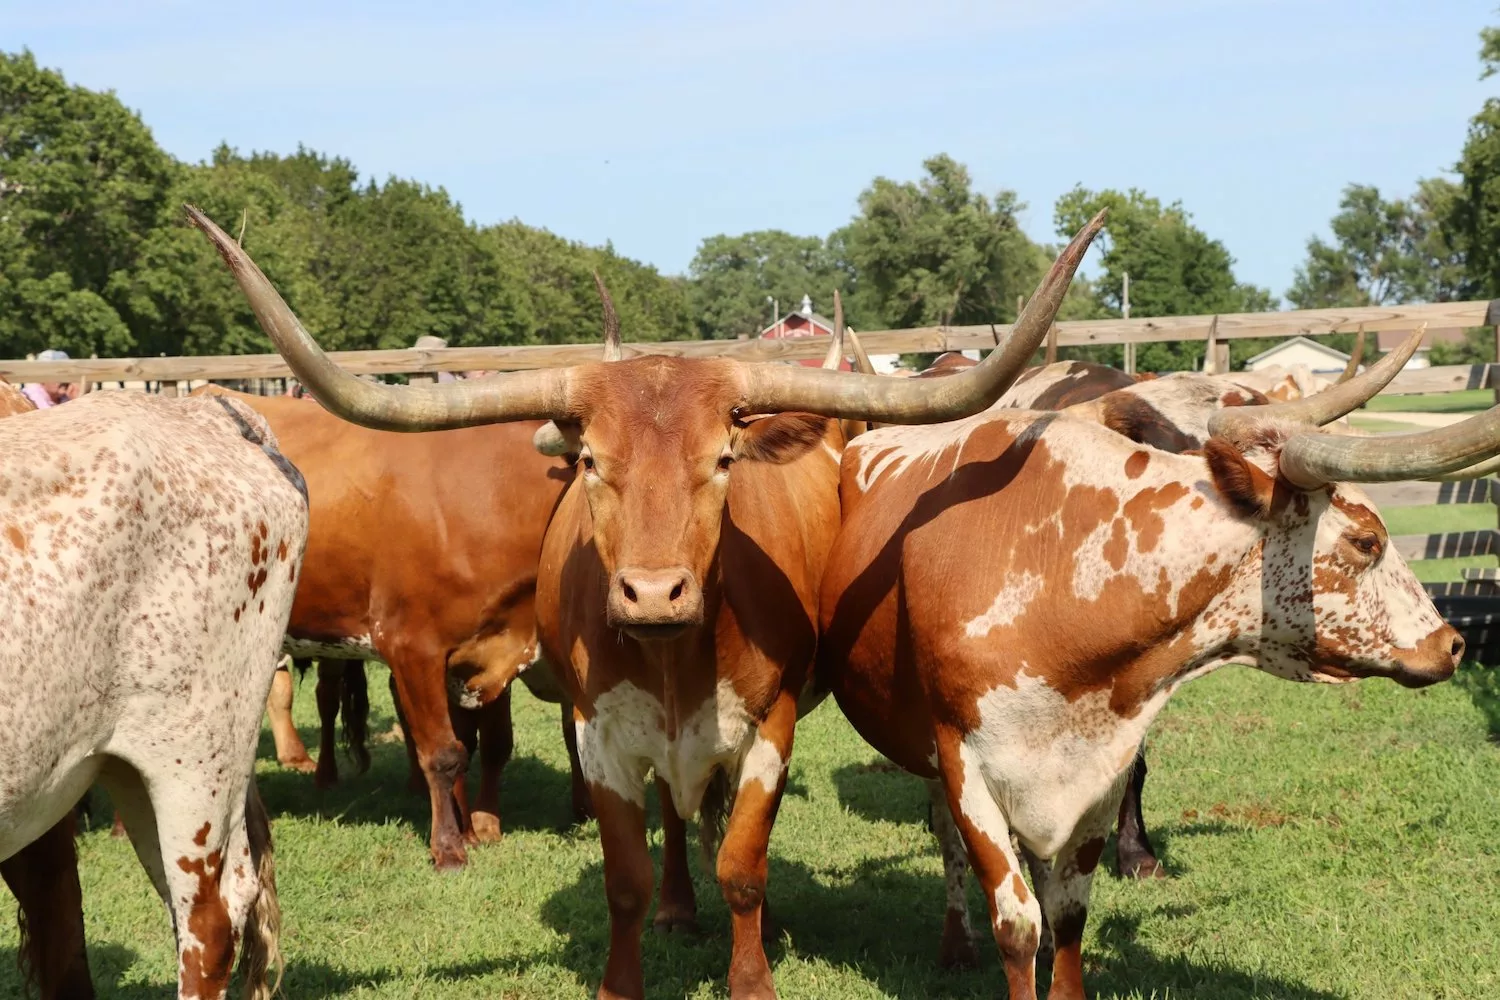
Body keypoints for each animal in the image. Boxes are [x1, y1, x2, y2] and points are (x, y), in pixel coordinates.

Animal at [193, 205, 1110, 1000]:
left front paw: (753, 973)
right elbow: (623, 876)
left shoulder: (770, 724)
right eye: (592, 461)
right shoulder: (590, 729)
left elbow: (743, 864)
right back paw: (676, 903)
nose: (654, 592)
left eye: (724, 459)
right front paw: (626, 963)